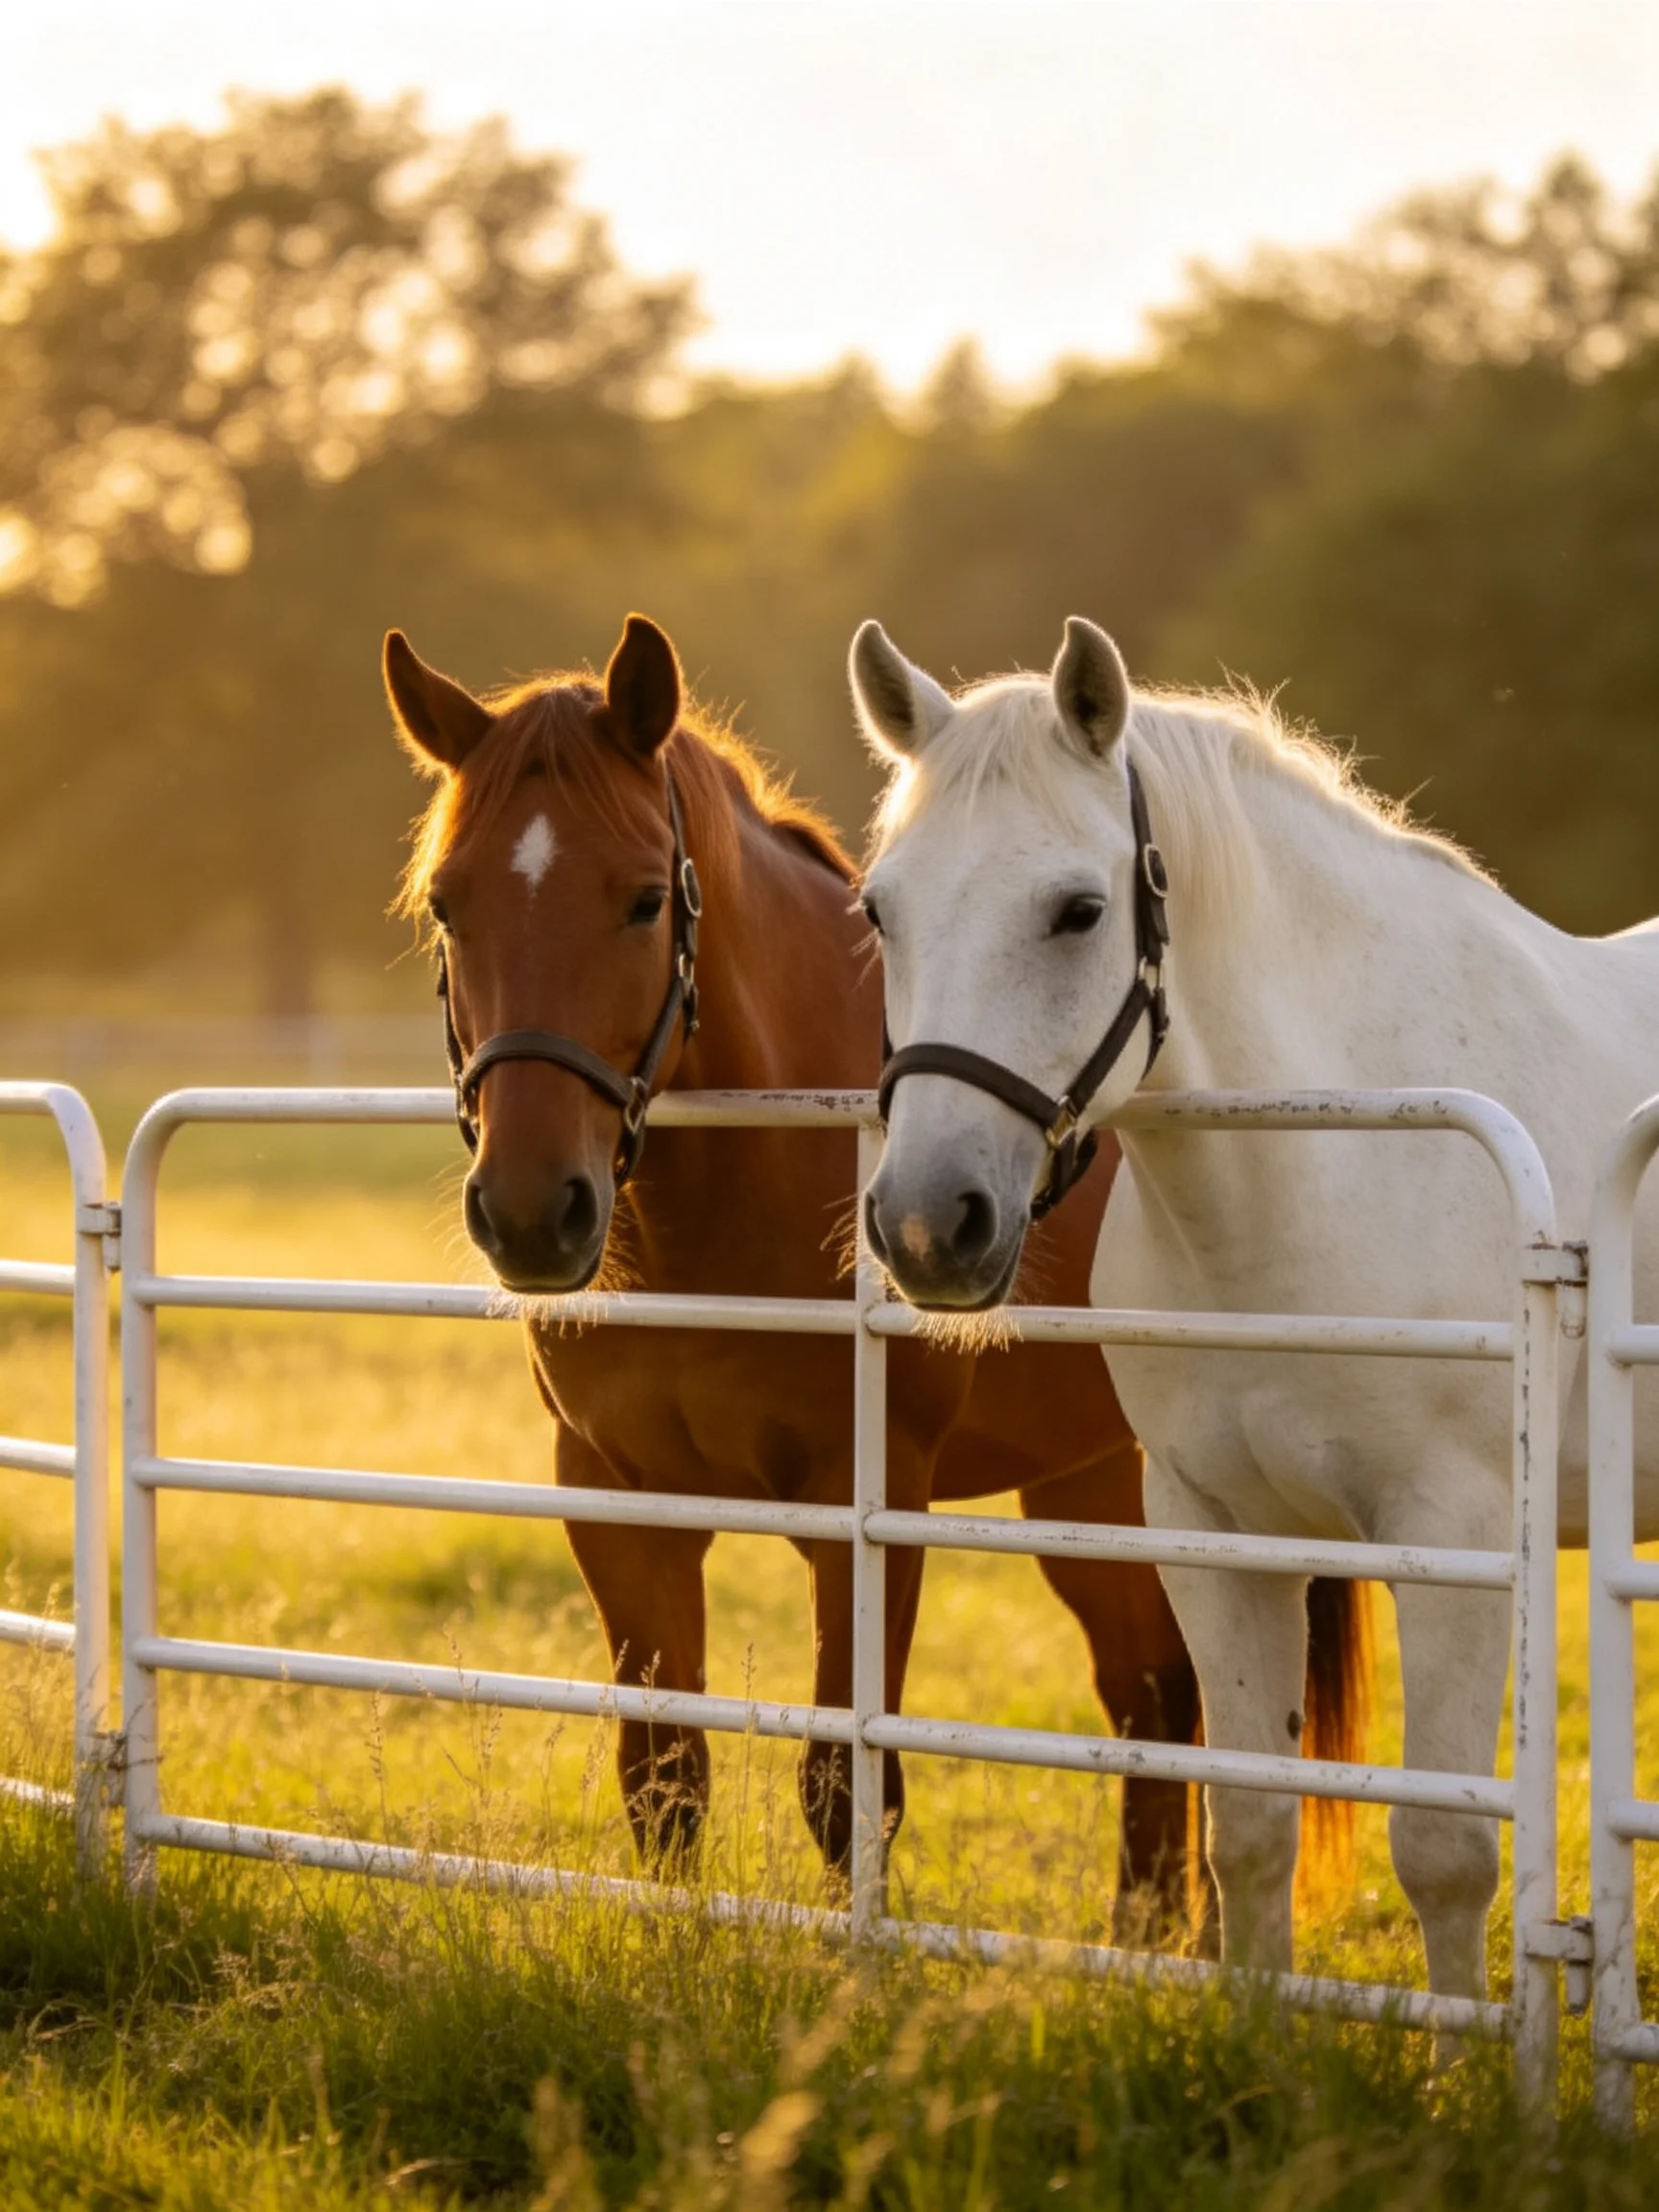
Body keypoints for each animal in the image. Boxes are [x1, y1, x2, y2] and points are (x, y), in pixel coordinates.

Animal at [383, 610, 1245, 1932]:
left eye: (645, 901)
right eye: (447, 905)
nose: (533, 1212)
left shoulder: (869, 1507)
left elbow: (847, 1795)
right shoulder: (617, 1501)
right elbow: (665, 1782)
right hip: (1091, 1483)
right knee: (1155, 1698)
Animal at [849, 610, 1659, 1998]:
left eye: (1078, 912)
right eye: (880, 909)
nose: (926, 1224)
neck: (1329, 1161)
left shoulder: (1452, 1541)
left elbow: (1445, 1853)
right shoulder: (1216, 1530)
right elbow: (1252, 1827)